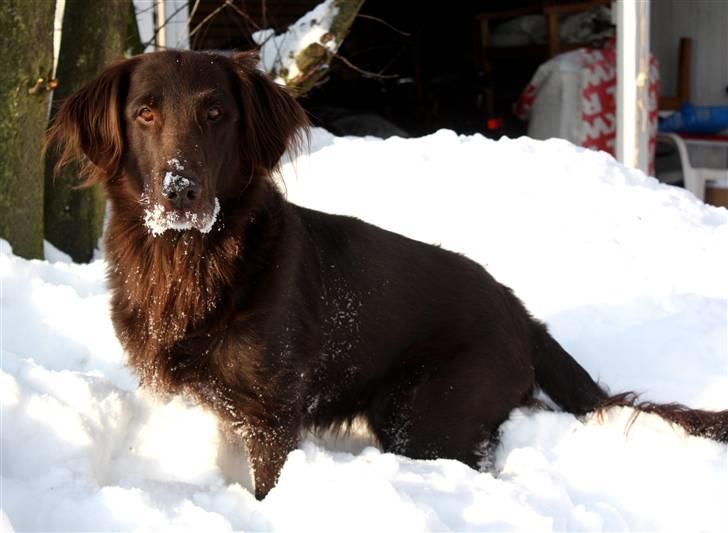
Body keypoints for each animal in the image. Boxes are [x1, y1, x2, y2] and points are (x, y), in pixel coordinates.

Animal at [48, 48, 724, 498]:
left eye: (217, 114)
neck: (187, 261)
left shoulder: (273, 411)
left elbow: (267, 484)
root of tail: (521, 313)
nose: (181, 192)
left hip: (422, 412)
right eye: (144, 114)